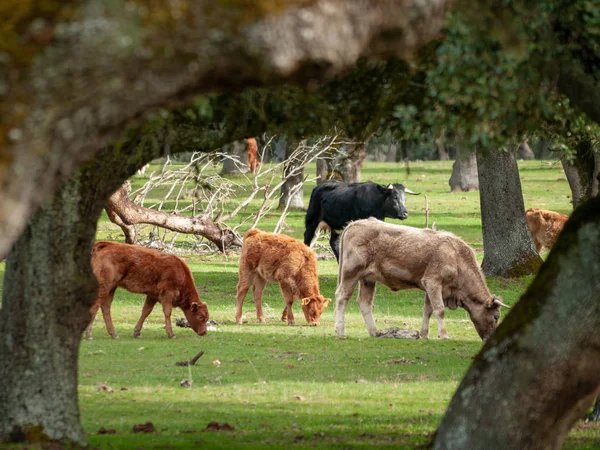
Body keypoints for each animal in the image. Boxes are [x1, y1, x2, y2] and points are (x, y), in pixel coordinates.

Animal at [336, 219, 508, 342]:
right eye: (496, 316)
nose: (490, 339)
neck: (456, 257)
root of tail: (355, 223)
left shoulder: (430, 287)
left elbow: (428, 310)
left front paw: (424, 334)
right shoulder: (433, 282)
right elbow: (439, 309)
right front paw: (444, 335)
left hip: (368, 280)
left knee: (364, 303)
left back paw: (374, 332)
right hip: (351, 273)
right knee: (342, 298)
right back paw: (340, 331)